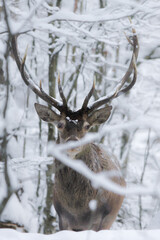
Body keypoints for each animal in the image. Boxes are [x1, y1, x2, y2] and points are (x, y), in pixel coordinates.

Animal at [11, 27, 139, 232]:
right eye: (59, 124)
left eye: (87, 126)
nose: (72, 142)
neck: (78, 208)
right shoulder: (62, 218)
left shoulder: (98, 221)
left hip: (110, 219)